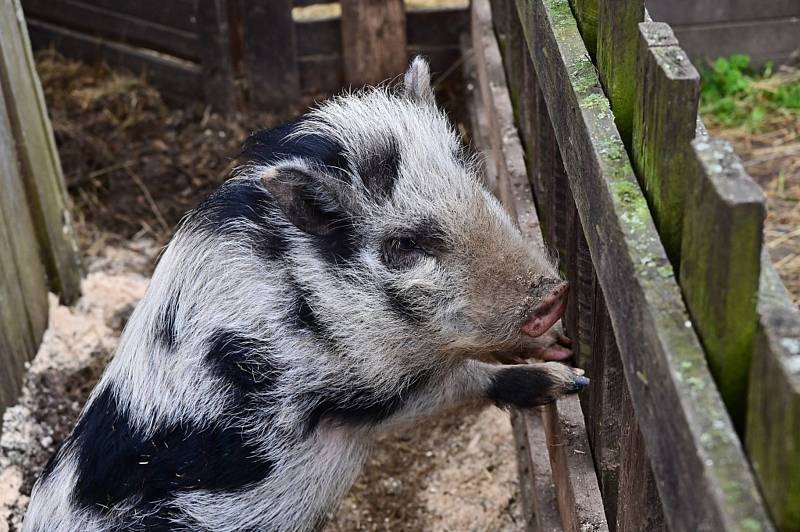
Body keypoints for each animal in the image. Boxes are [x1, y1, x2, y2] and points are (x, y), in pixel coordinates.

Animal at [25, 58, 588, 532]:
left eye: (473, 183)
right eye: (405, 245)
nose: (553, 296)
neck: (306, 303)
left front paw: (564, 352)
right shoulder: (353, 399)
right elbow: (462, 379)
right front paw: (569, 380)